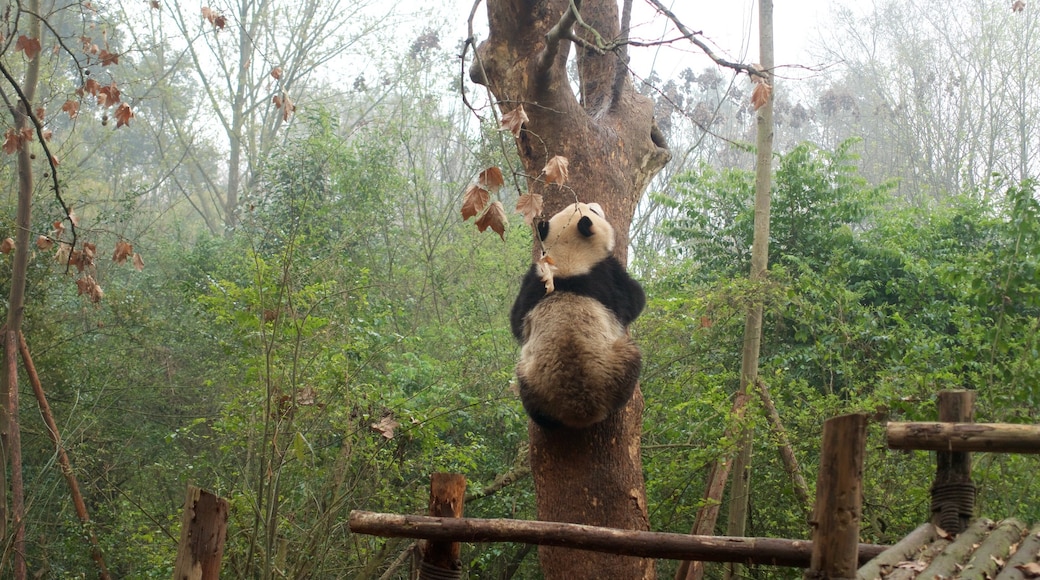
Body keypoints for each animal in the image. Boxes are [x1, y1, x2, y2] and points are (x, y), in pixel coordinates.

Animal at [509, 202, 644, 430]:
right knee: (632, 357)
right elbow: (634, 300)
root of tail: (580, 410)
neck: (567, 258)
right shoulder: (604, 277)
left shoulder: (535, 283)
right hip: (615, 367)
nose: (595, 204)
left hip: (531, 382)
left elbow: (516, 319)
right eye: (593, 210)